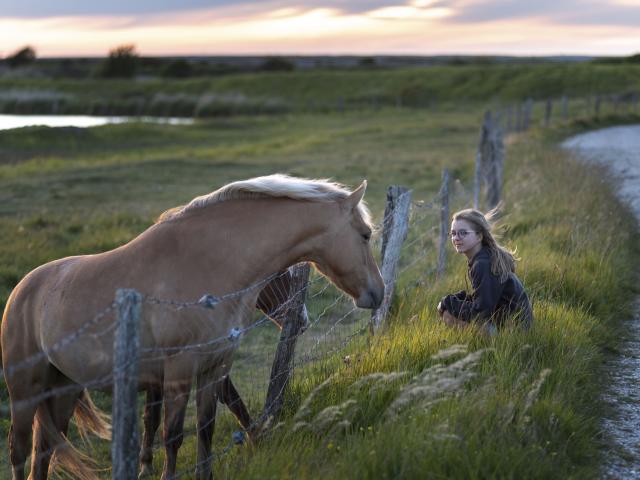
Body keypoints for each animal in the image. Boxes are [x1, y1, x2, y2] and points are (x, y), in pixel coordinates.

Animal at [138, 268, 308, 478]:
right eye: (278, 274)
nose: (302, 320)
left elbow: (231, 400)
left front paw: (257, 438)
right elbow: (152, 418)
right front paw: (146, 466)